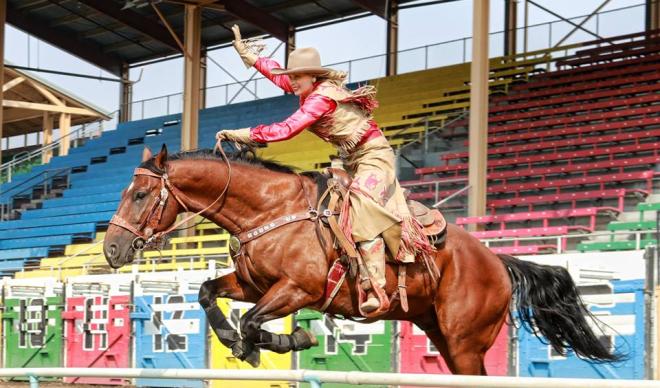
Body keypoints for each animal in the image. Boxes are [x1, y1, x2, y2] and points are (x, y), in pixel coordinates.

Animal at [103, 145, 620, 372]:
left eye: (140, 194)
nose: (110, 248)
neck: (272, 209)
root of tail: (499, 262)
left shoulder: (296, 291)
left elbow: (252, 321)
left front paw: (287, 340)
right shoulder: (253, 284)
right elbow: (209, 293)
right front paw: (239, 342)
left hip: (466, 342)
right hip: (446, 339)